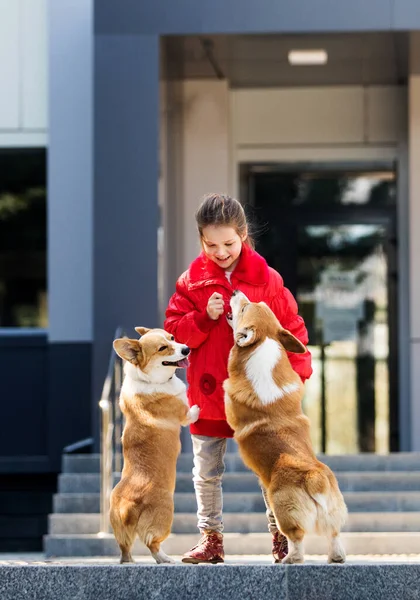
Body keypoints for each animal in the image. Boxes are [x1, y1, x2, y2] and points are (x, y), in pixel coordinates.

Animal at [110, 326, 199, 564]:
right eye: (162, 348)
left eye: (172, 338)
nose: (186, 349)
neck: (149, 380)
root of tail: (127, 506)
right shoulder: (184, 415)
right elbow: (191, 410)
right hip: (165, 516)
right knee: (152, 543)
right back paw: (166, 559)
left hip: (120, 531)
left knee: (125, 548)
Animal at [225, 292, 346, 564]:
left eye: (244, 308)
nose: (236, 292)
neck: (264, 343)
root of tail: (314, 477)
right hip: (333, 513)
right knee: (334, 534)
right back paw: (336, 557)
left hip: (283, 509)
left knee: (297, 537)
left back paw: (290, 558)